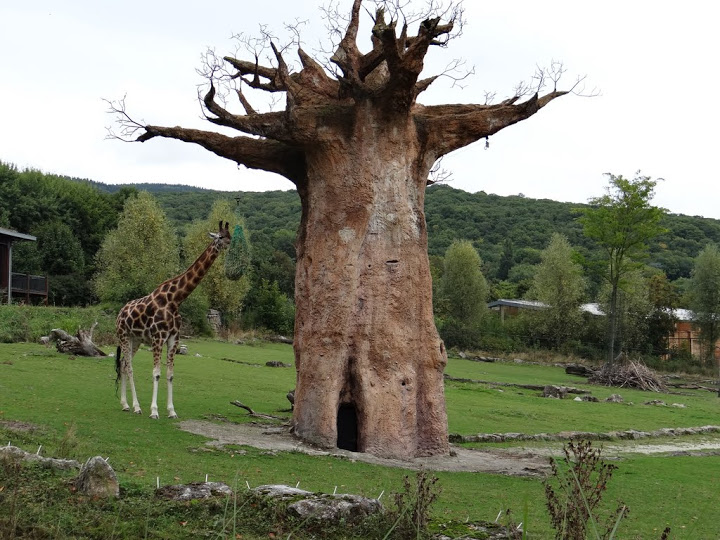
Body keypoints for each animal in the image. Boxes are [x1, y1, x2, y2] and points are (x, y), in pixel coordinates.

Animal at [115, 221, 231, 419]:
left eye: (231, 236)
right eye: (221, 236)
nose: (229, 245)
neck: (175, 300)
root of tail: (119, 314)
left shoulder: (173, 338)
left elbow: (170, 374)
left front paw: (171, 411)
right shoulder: (158, 337)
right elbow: (156, 373)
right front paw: (154, 411)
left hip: (135, 339)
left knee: (123, 364)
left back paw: (125, 405)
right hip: (123, 335)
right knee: (129, 366)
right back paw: (137, 407)